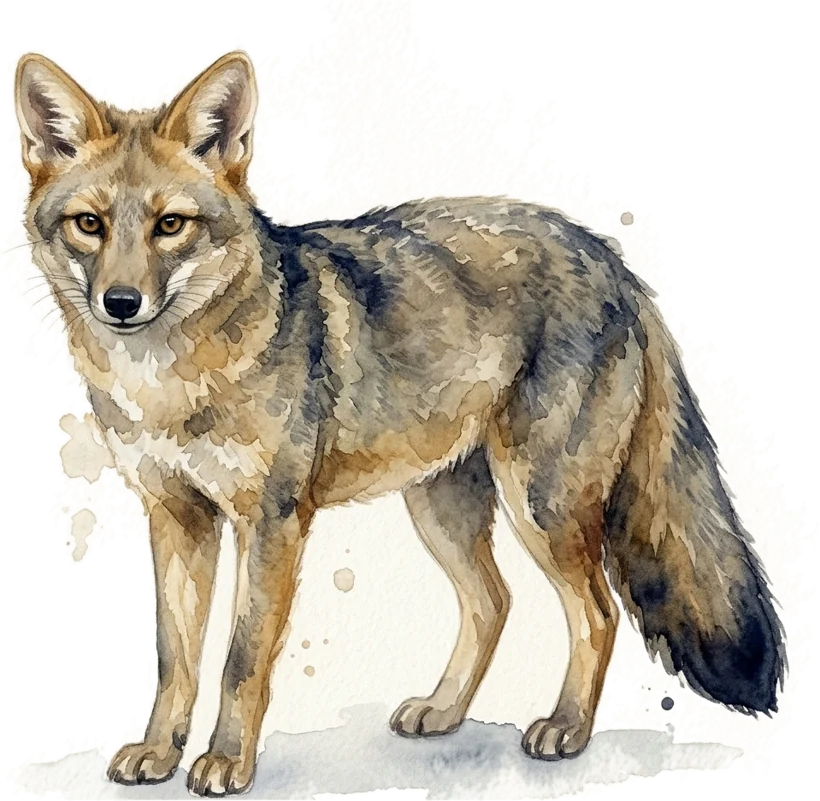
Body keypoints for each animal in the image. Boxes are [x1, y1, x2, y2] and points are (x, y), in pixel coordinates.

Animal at [15, 50, 785, 796]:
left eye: (169, 225)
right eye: (90, 224)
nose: (121, 302)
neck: (167, 384)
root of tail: (613, 260)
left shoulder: (272, 523)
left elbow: (240, 661)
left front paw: (228, 762)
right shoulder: (177, 516)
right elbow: (177, 660)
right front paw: (158, 752)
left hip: (543, 508)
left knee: (596, 611)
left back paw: (565, 728)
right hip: (440, 507)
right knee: (494, 602)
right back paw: (443, 710)